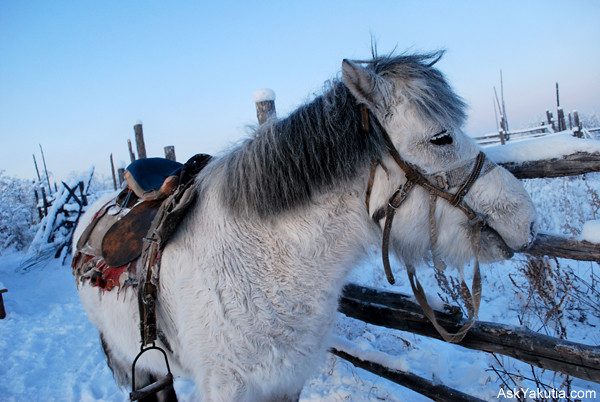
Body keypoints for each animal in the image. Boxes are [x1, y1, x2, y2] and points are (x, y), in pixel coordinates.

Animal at [72, 51, 536, 400]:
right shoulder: (226, 388)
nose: (527, 221)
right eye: (441, 138)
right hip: (136, 362)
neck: (265, 263)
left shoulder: (287, 380)